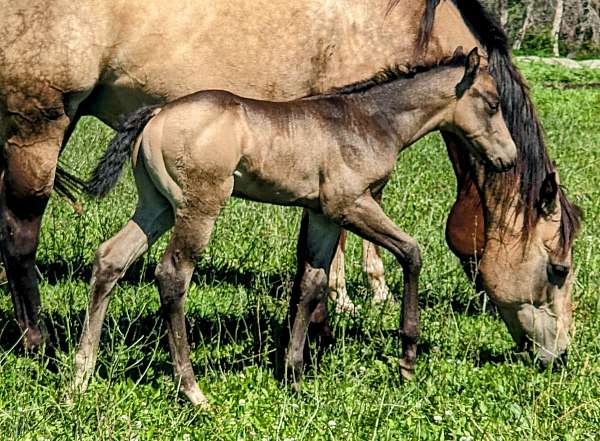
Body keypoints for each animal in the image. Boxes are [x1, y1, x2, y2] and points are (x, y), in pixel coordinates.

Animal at [0, 0, 580, 364]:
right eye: (558, 268)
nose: (560, 354)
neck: (408, 19)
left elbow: (313, 258)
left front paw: (310, 334)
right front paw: (333, 324)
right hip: (39, 123)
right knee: (20, 234)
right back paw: (37, 341)